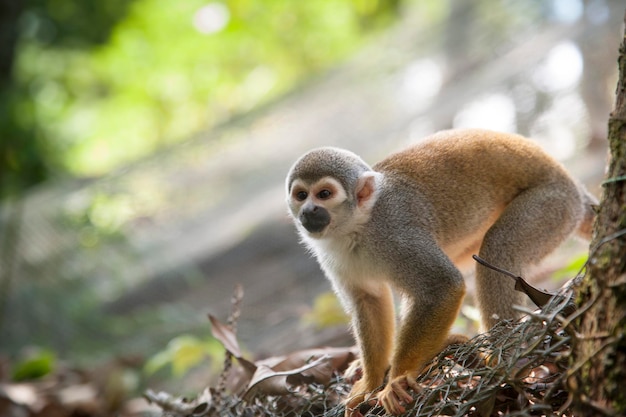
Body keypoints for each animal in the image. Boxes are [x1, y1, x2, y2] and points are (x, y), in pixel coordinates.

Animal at [284, 128, 596, 414]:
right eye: (301, 195)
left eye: (324, 194)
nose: (308, 210)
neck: (357, 227)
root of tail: (572, 184)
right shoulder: (332, 256)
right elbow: (368, 301)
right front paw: (369, 384)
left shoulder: (395, 233)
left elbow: (442, 286)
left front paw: (396, 381)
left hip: (553, 205)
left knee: (498, 247)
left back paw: (503, 358)